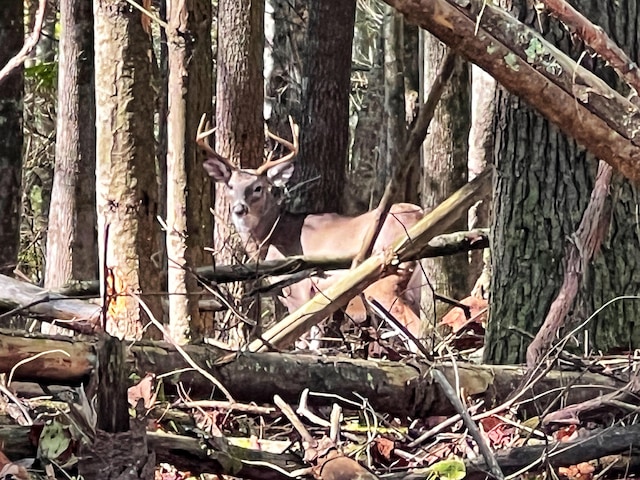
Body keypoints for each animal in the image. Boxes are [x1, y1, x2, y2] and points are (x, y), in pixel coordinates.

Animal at [195, 115, 424, 348]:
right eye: (230, 186)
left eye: (258, 187)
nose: (239, 209)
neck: (272, 236)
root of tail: (419, 214)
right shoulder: (317, 294)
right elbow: (315, 338)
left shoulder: (298, 289)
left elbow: (301, 340)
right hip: (414, 285)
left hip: (385, 279)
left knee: (416, 328)